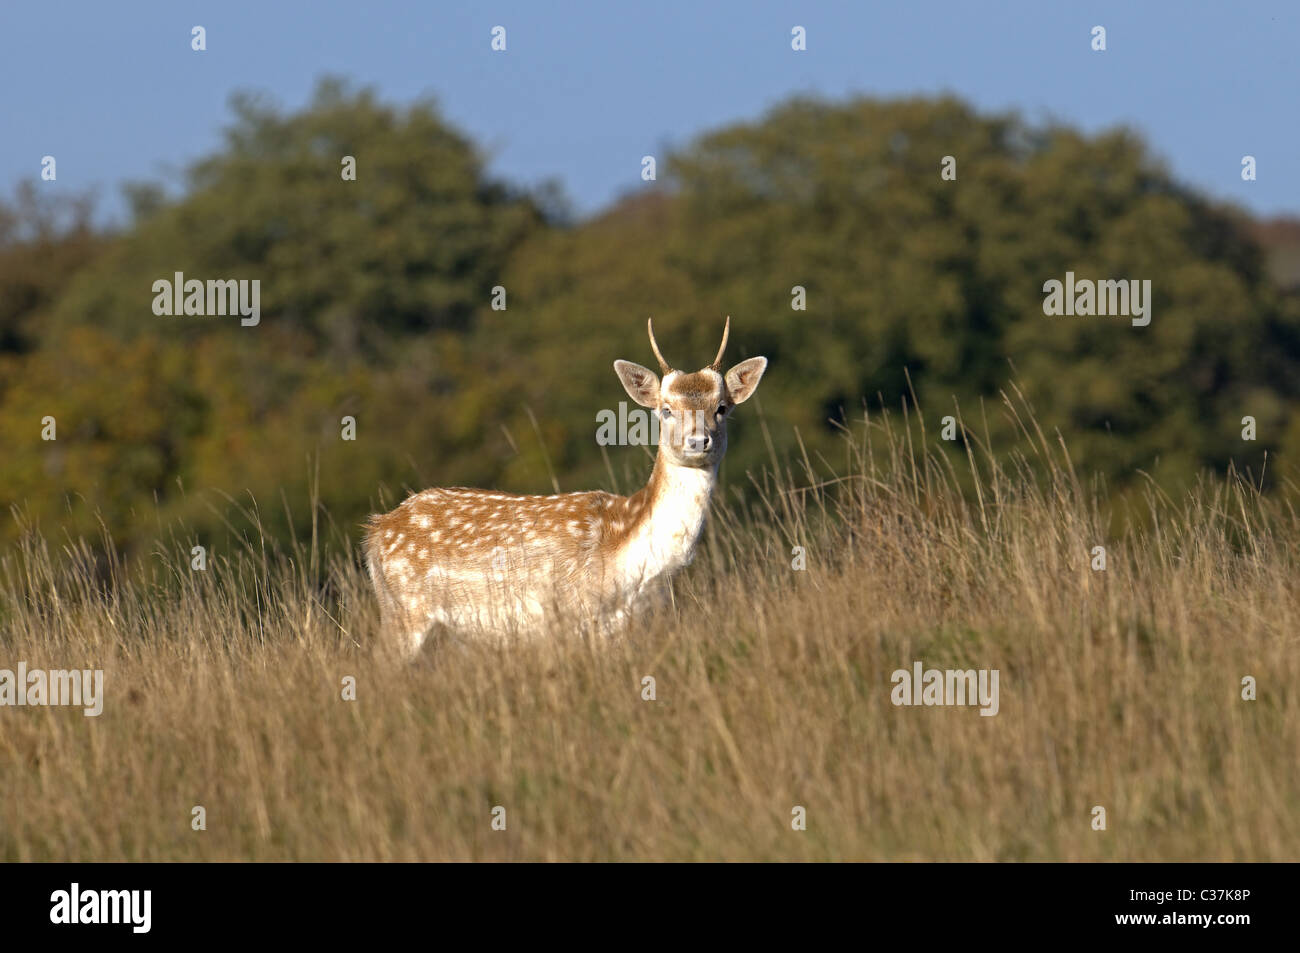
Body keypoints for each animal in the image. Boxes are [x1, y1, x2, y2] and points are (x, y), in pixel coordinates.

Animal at [361, 317, 764, 655]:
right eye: (665, 409)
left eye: (721, 407)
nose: (698, 441)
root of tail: (375, 532)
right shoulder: (573, 614)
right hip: (406, 610)